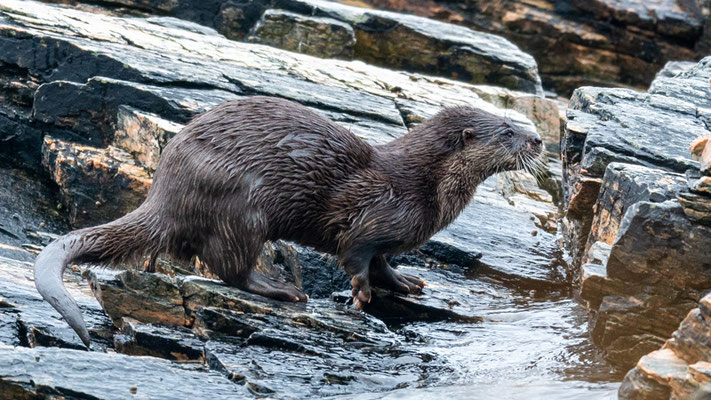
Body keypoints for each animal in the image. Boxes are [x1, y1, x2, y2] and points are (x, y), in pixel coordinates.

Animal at [33, 95, 544, 346]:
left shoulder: (392, 235)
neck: (424, 186)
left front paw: (406, 283)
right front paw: (360, 296)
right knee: (229, 266)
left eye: (517, 121)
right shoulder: (374, 216)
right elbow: (357, 256)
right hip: (241, 202)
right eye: (508, 132)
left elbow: (385, 262)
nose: (539, 139)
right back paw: (281, 289)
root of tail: (164, 188)